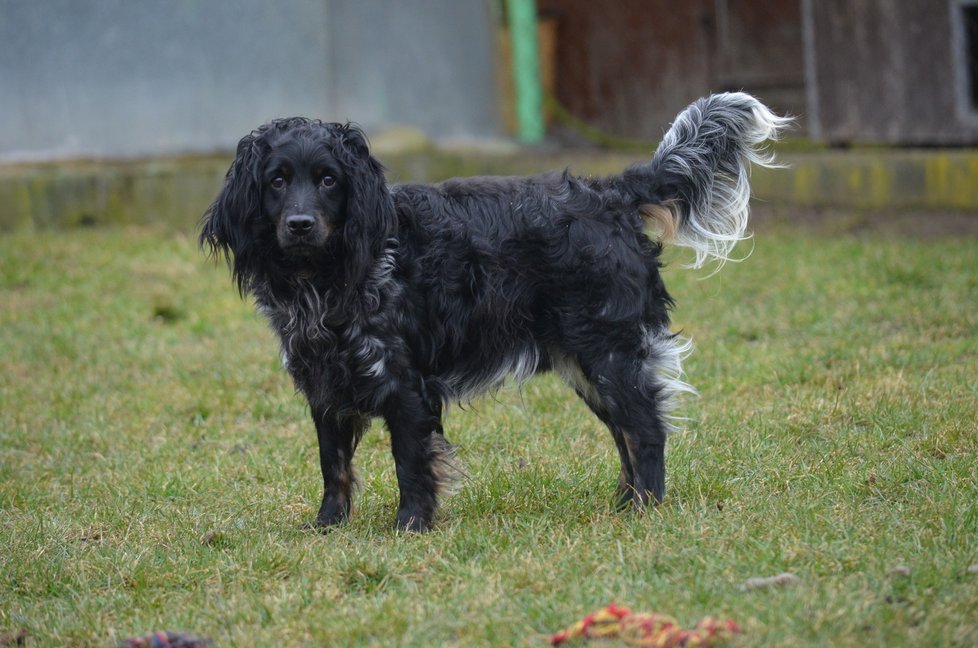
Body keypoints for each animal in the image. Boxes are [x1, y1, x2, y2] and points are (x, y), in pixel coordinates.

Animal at [198, 91, 784, 528]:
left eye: (328, 180)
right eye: (277, 180)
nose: (299, 224)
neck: (331, 277)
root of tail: (611, 193)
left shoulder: (406, 387)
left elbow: (411, 466)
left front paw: (410, 527)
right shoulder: (325, 387)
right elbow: (333, 468)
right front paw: (327, 527)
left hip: (611, 355)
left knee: (646, 432)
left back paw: (646, 510)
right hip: (586, 367)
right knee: (626, 435)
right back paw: (622, 506)